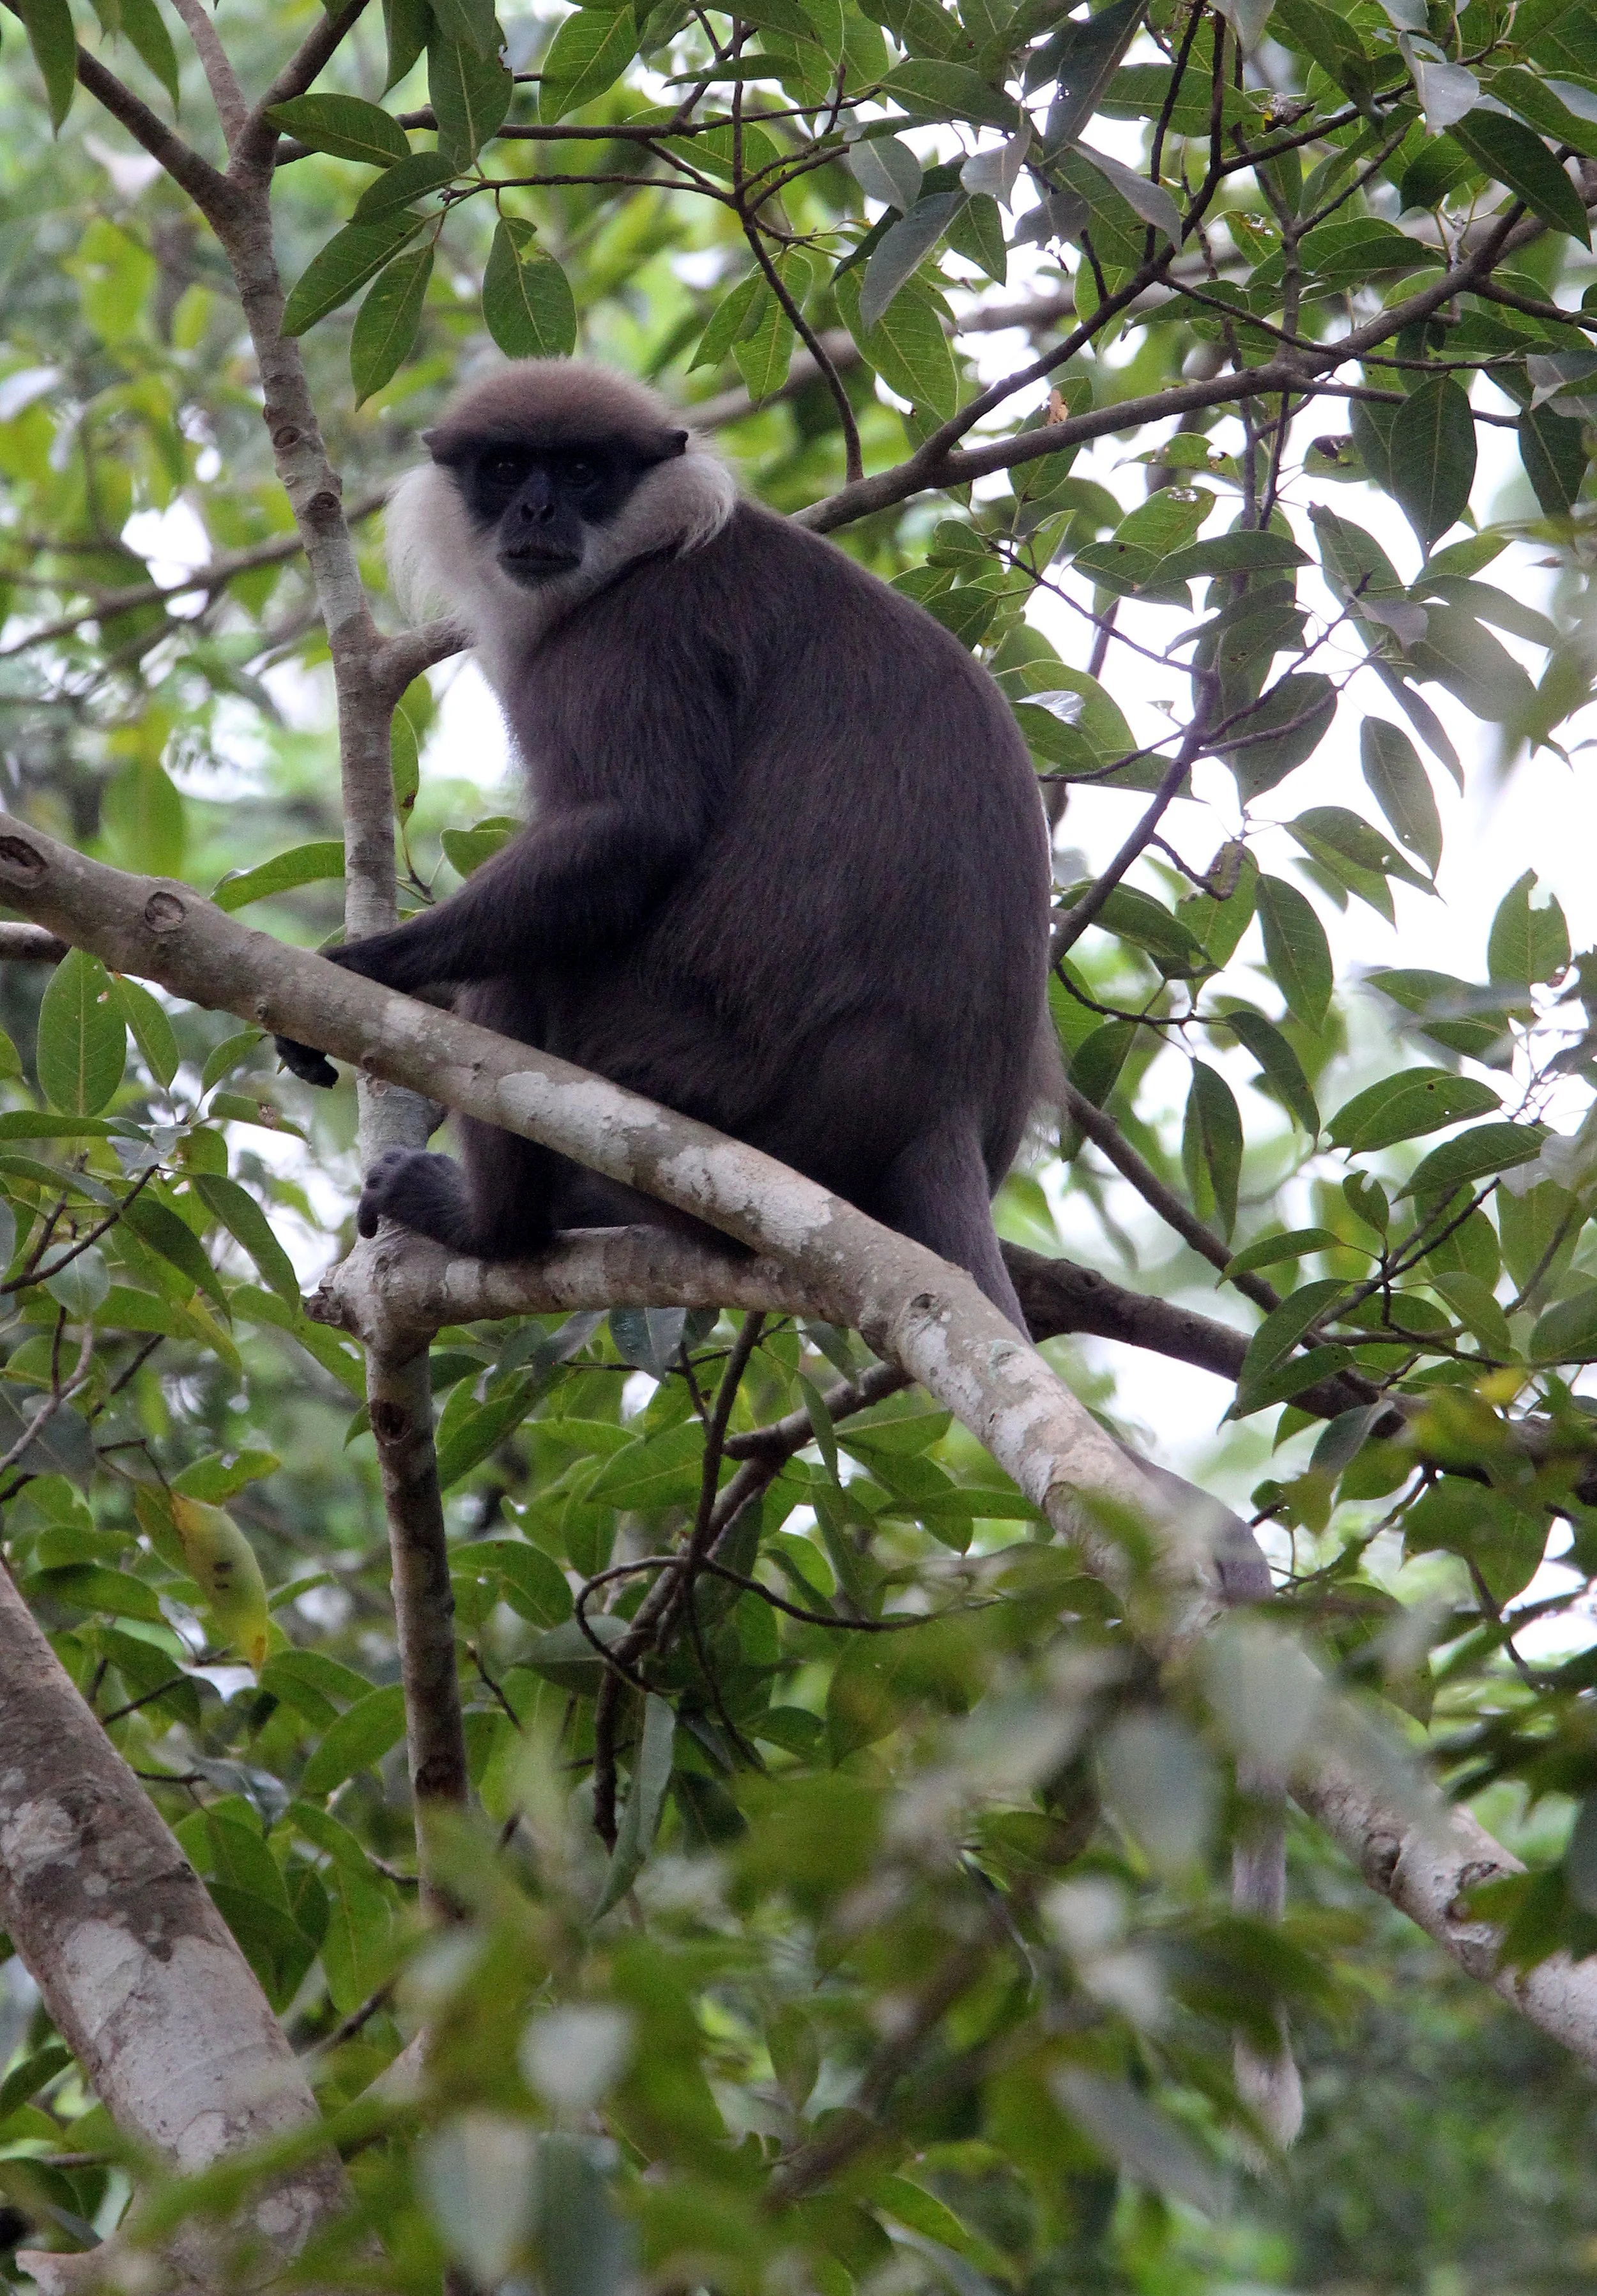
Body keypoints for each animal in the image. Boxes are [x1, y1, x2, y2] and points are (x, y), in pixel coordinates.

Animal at [275, 358, 1054, 1330]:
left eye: (581, 472)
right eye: (505, 468)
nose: (536, 511)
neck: (640, 555)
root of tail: (940, 1110)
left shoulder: (631, 636)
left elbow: (635, 829)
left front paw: (368, 968)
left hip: (705, 1084)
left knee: (531, 969)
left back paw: (493, 1226)